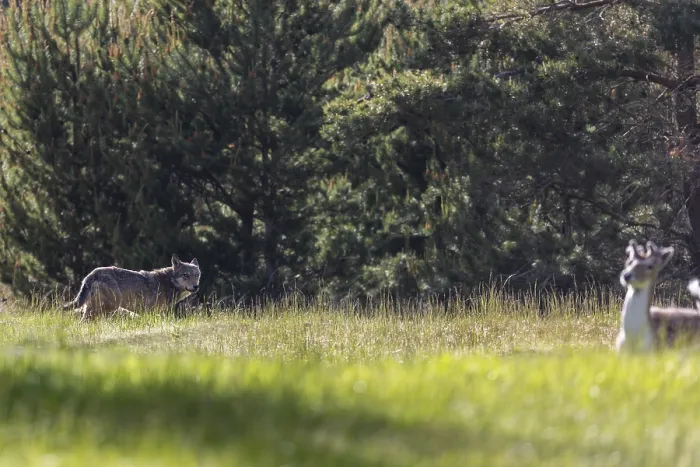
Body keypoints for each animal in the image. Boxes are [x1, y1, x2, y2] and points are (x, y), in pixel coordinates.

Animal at [62, 255, 201, 321]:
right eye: (185, 275)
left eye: (197, 275)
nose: (196, 286)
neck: (168, 283)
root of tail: (92, 274)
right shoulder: (150, 312)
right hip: (109, 307)